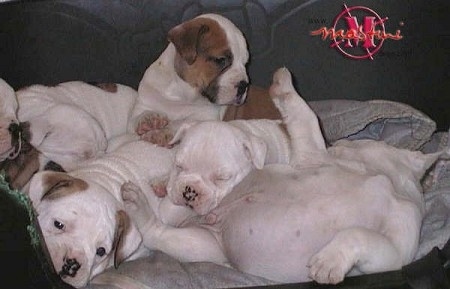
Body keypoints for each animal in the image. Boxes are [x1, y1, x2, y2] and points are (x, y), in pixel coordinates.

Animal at [130, 13, 250, 144]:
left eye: (245, 63)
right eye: (220, 60)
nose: (244, 85)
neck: (181, 93)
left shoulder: (206, 117)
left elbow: (182, 122)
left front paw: (160, 133)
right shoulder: (142, 104)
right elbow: (136, 116)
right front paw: (148, 119)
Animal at [156, 68, 442, 284]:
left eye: (221, 177)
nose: (336, 145)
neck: (382, 174)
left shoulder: (394, 254)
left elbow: (360, 234)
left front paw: (329, 260)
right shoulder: (311, 153)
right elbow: (305, 115)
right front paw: (284, 83)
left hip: (202, 242)